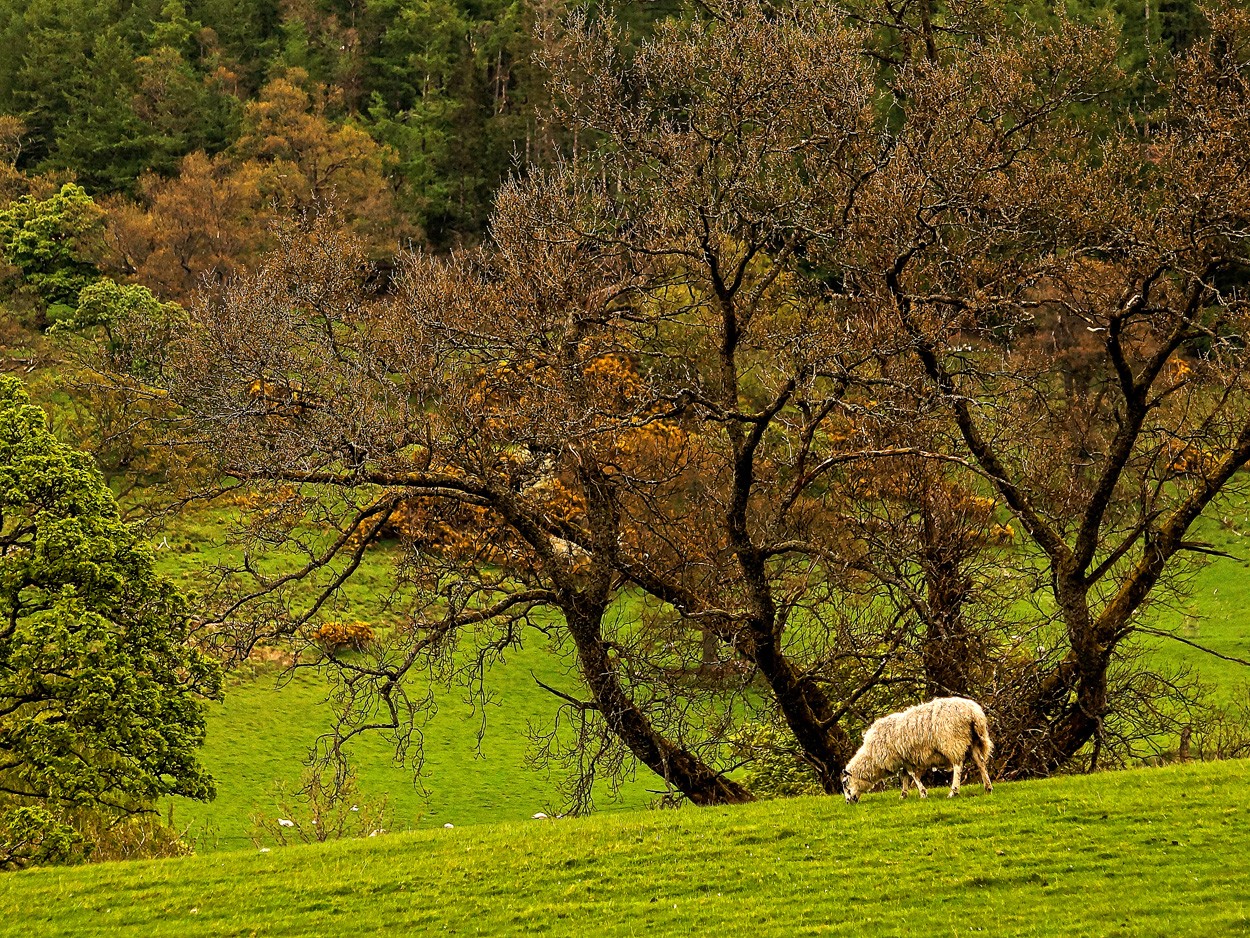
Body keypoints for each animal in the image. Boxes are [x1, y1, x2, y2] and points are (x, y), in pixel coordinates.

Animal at [840, 695, 995, 805]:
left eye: (845, 783)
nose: (848, 802)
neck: (871, 756)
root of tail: (973, 712)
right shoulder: (903, 759)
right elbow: (904, 777)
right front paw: (903, 795)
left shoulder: (904, 759)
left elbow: (912, 775)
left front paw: (922, 793)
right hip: (973, 741)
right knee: (980, 762)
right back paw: (988, 788)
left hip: (953, 742)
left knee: (958, 766)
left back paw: (953, 792)